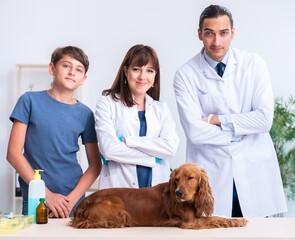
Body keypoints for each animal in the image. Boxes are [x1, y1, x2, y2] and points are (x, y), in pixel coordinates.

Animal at [70, 163, 249, 229]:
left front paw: (235, 219)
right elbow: (212, 219)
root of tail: (83, 203)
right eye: (176, 180)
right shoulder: (190, 222)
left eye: (190, 178)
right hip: (118, 208)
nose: (178, 193)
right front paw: (236, 221)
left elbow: (216, 217)